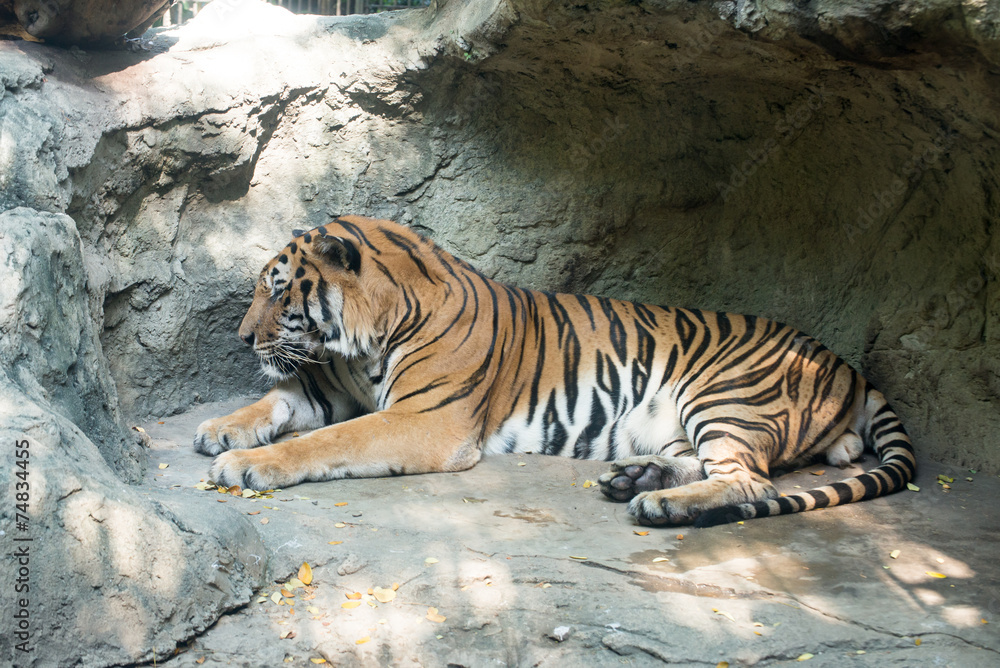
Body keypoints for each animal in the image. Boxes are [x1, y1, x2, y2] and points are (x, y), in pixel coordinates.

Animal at [195, 215, 916, 527]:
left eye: (278, 292)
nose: (242, 336)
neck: (364, 343)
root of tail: (847, 365)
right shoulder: (336, 381)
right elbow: (283, 401)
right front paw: (219, 429)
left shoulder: (426, 419)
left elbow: (327, 440)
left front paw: (247, 466)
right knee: (714, 465)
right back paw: (635, 478)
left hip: (725, 394)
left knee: (751, 480)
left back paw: (659, 503)